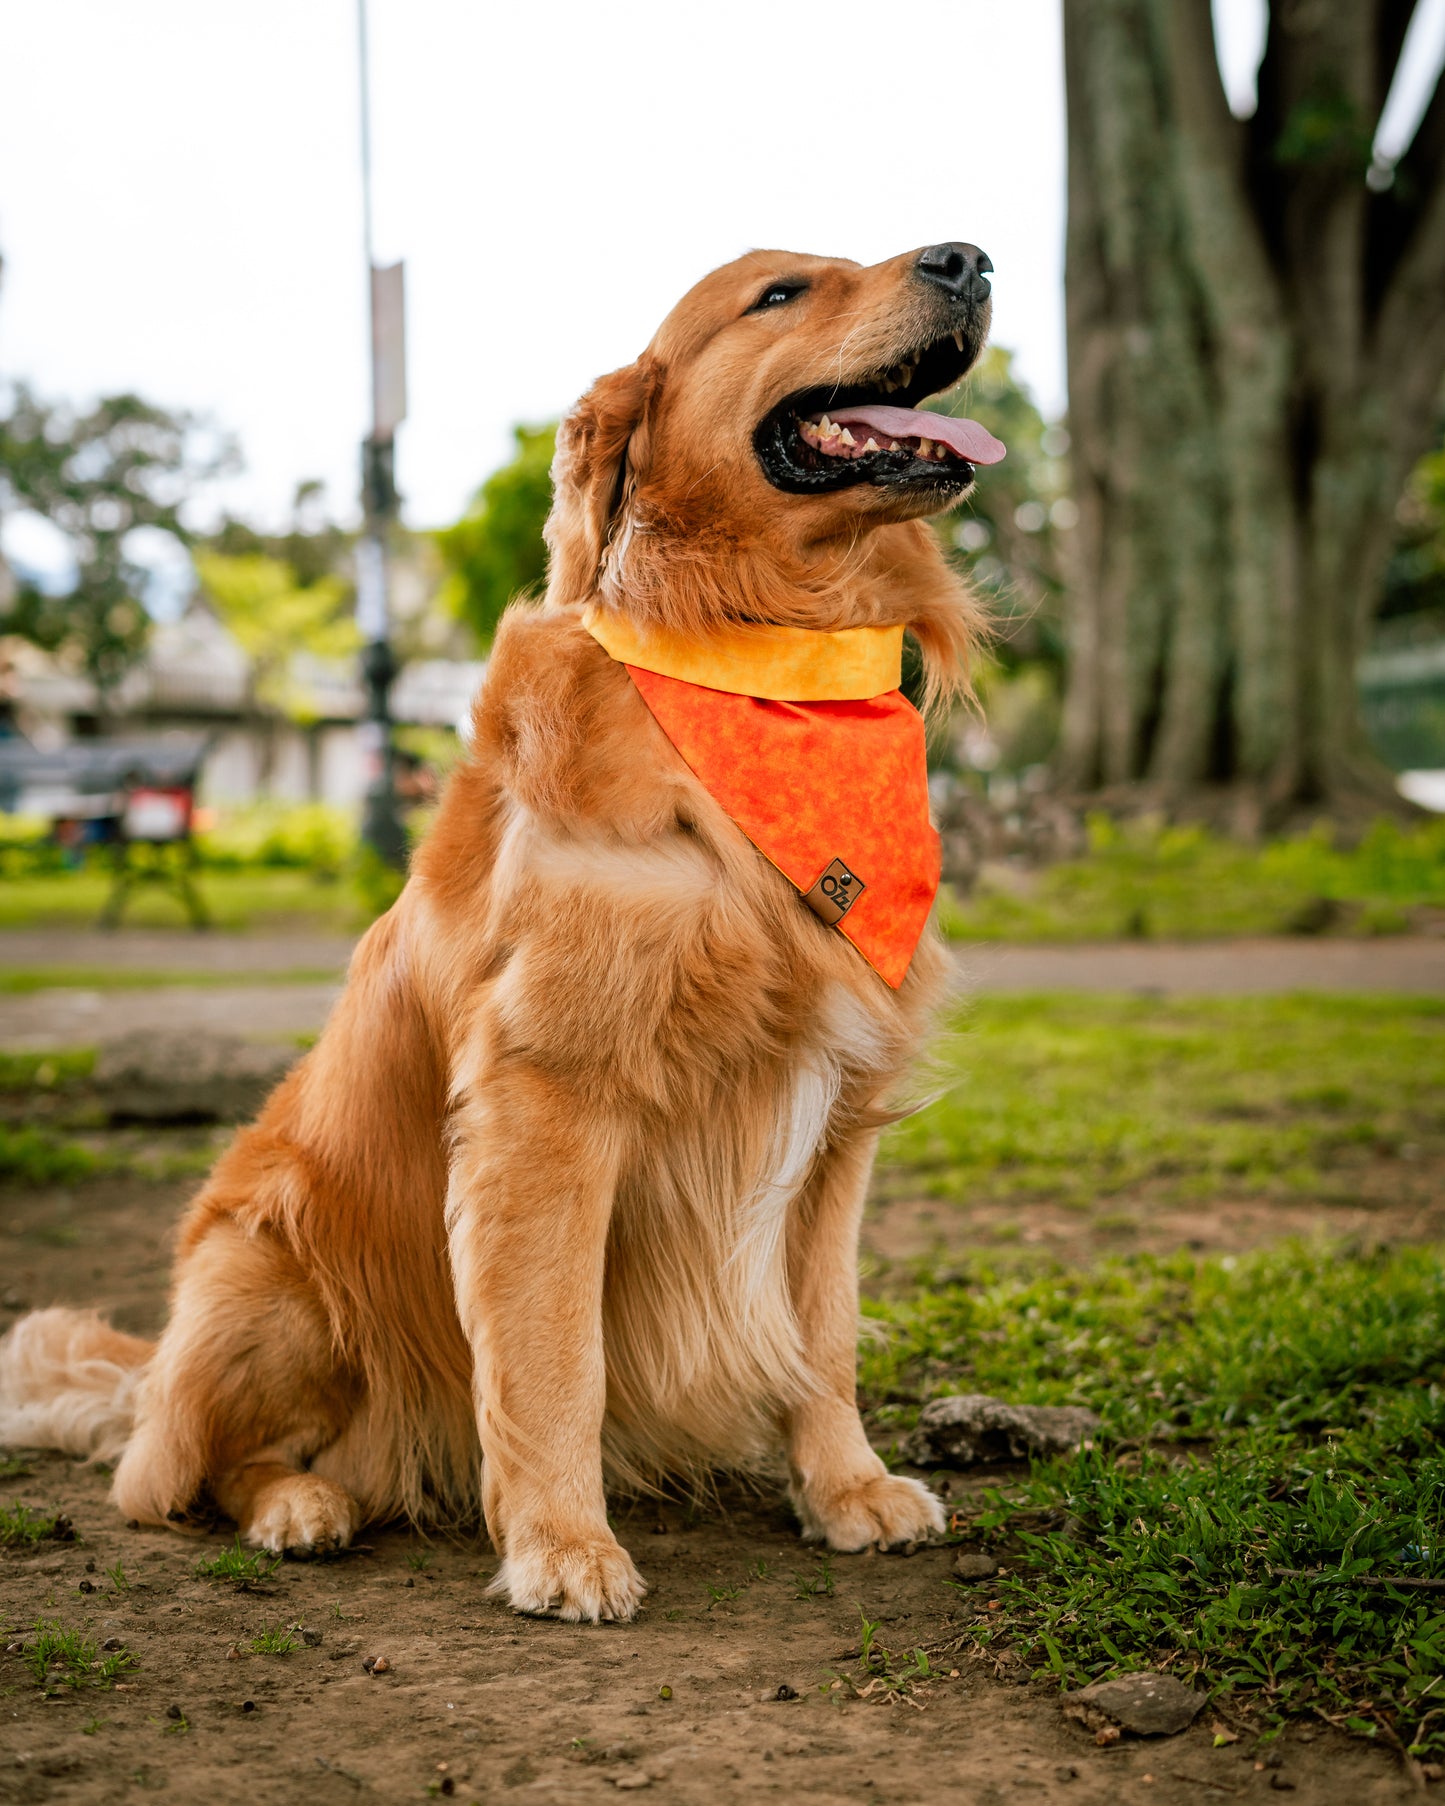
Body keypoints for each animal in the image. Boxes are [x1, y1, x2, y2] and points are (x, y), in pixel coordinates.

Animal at [0, 243, 997, 1625]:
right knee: (188, 1471)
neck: (757, 666)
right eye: (780, 294)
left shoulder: (834, 1113)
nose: (971, 258)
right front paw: (560, 1547)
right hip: (268, 1275)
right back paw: (299, 1505)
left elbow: (823, 1334)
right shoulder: (549, 1102)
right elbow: (548, 1354)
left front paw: (844, 1490)